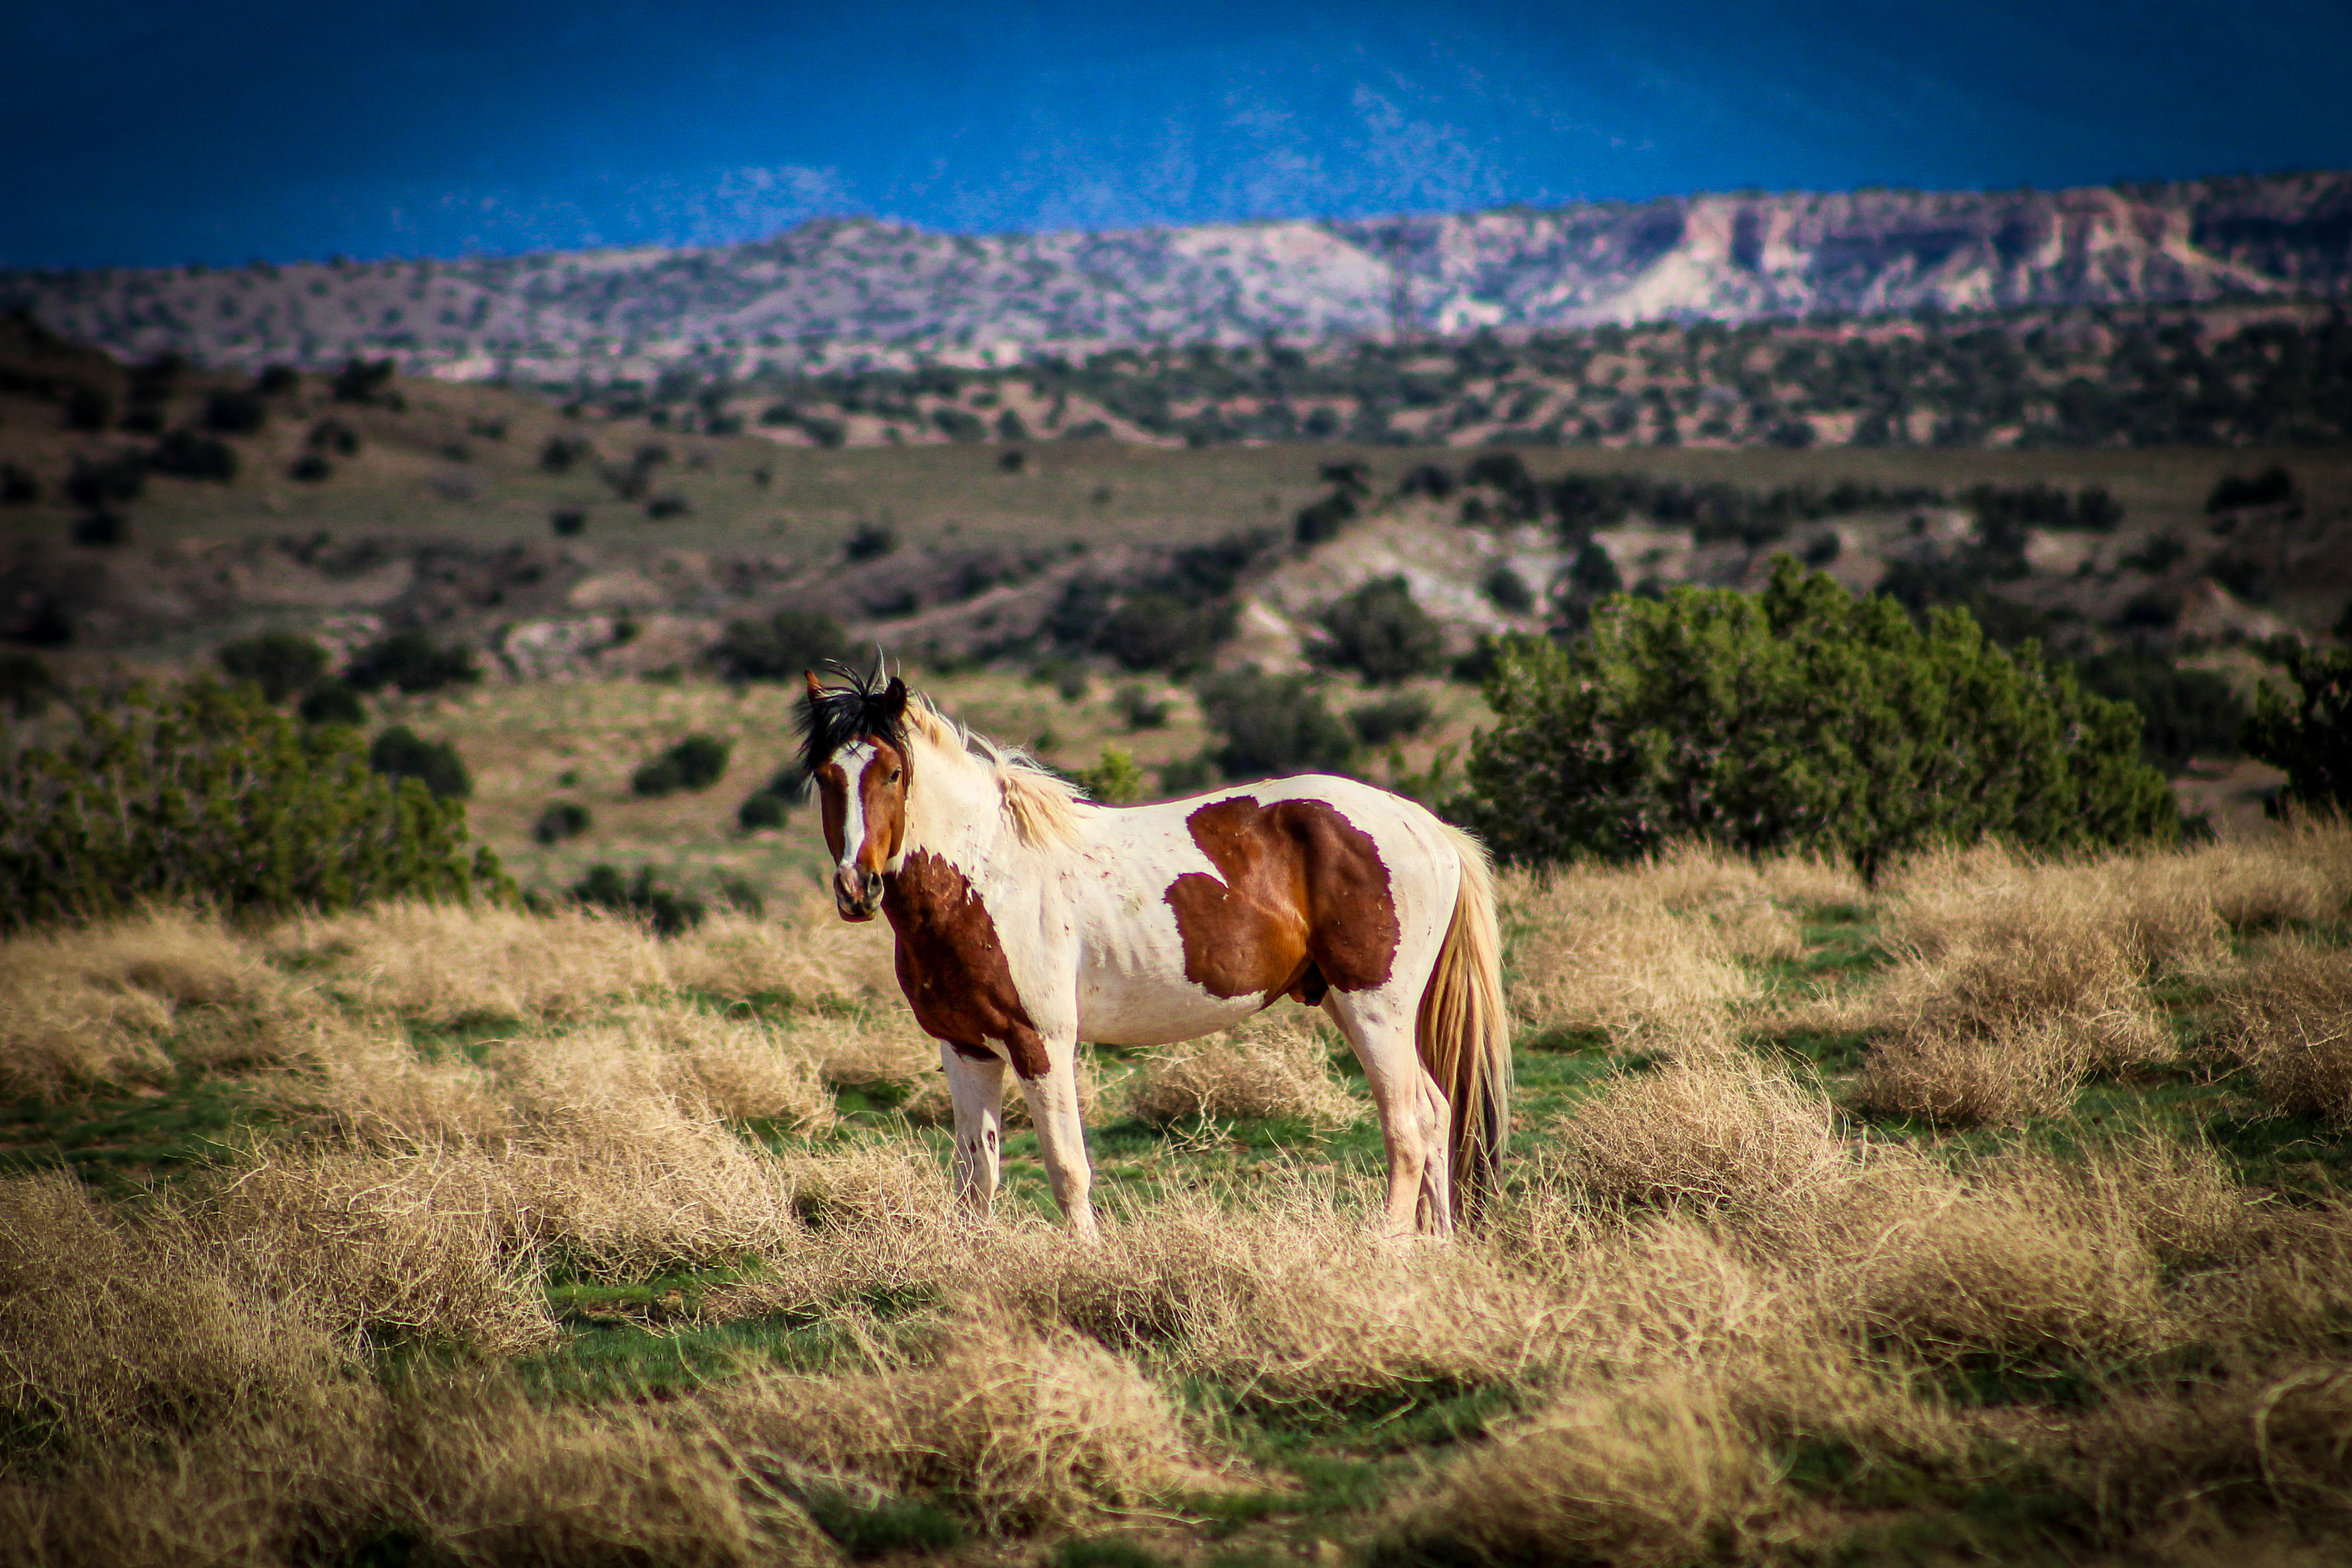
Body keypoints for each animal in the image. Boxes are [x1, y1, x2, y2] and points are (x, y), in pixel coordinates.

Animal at [799, 664, 1511, 1238]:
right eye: (827, 776)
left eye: (893, 772)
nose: (857, 888)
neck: (986, 875)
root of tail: (1429, 828)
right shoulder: (965, 1046)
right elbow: (977, 1178)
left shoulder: (1041, 1042)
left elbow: (1067, 1168)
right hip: (1348, 1002)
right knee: (1437, 1113)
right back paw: (1436, 1247)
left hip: (1375, 1009)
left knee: (1408, 1125)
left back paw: (1390, 1247)